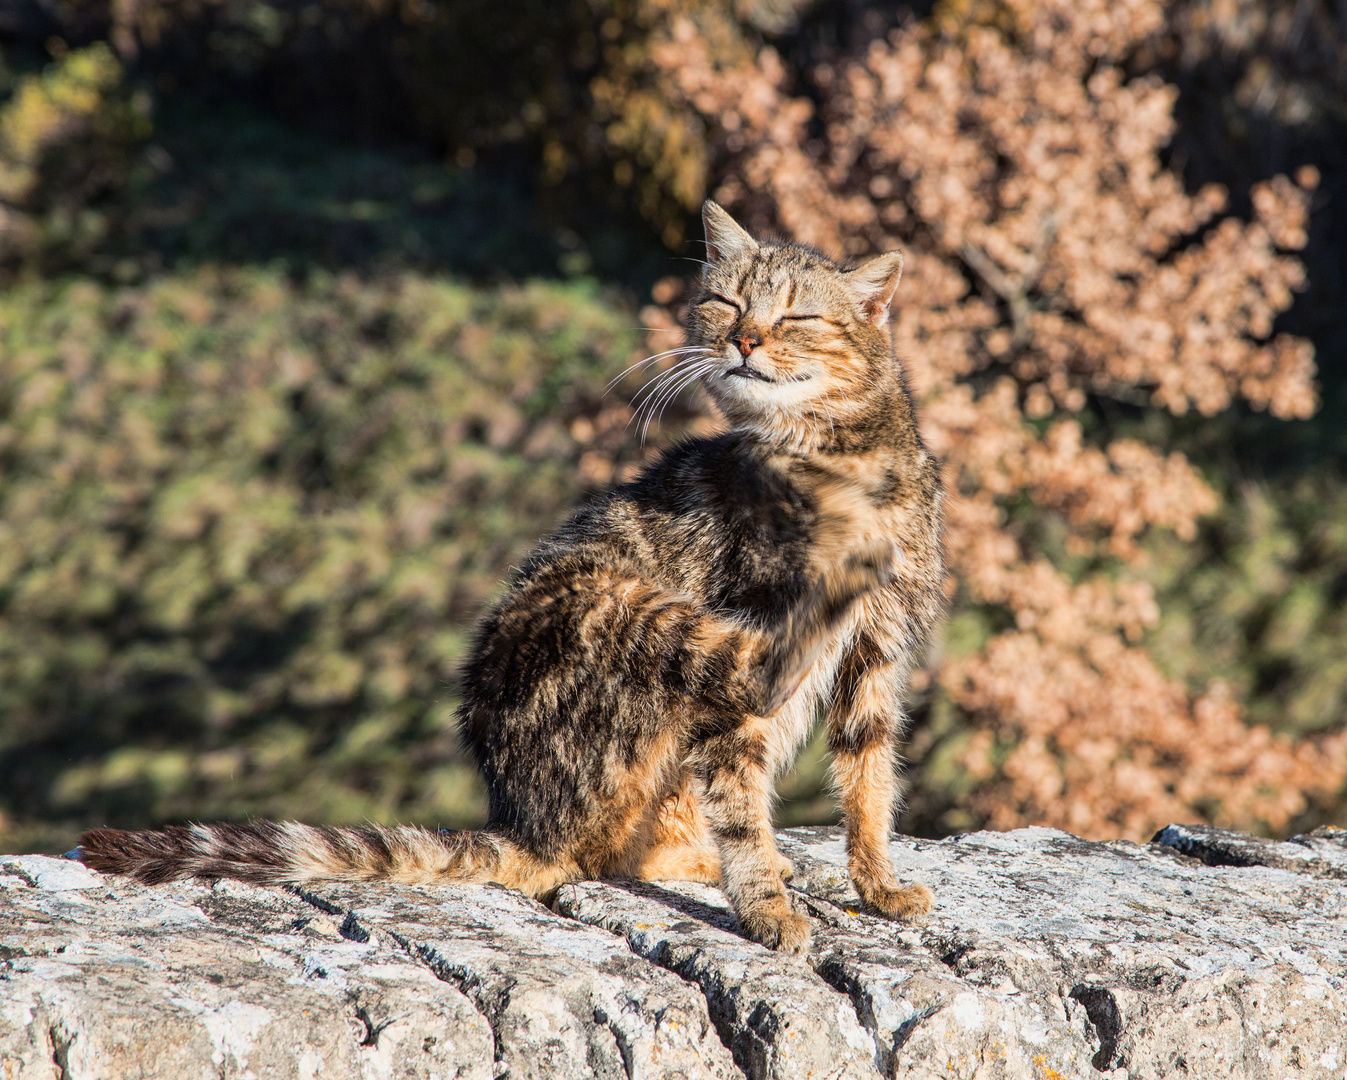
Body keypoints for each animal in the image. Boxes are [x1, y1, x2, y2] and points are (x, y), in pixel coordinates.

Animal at [78, 201, 942, 953]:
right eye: (724, 302)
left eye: (795, 317)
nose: (745, 340)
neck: (834, 461)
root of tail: (520, 819)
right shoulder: (748, 660)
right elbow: (743, 810)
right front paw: (765, 906)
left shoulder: (879, 649)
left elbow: (868, 781)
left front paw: (875, 885)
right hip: (609, 599)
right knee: (613, 841)